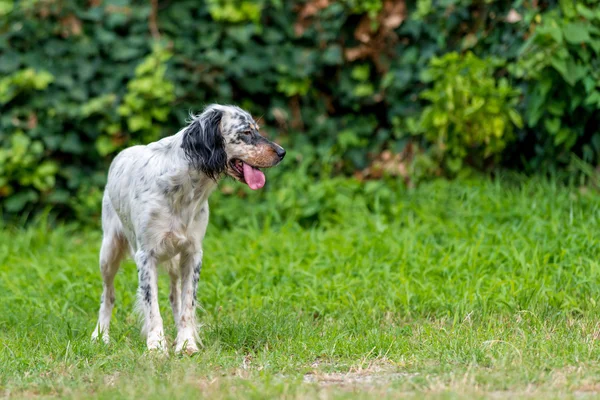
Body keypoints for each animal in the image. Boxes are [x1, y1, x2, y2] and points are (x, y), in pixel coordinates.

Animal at [91, 103, 286, 354]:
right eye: (245, 132)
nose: (282, 152)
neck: (183, 188)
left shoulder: (192, 253)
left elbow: (187, 304)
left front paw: (186, 342)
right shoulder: (146, 255)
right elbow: (152, 306)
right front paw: (156, 345)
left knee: (174, 296)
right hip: (108, 253)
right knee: (108, 295)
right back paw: (100, 335)